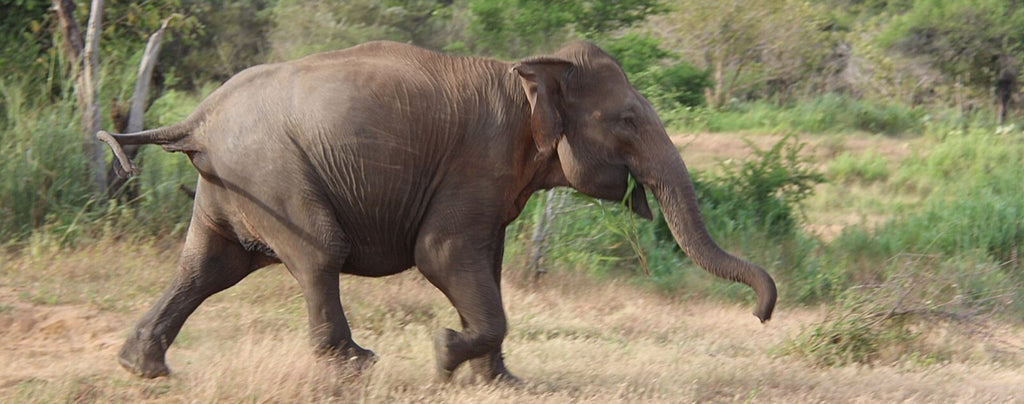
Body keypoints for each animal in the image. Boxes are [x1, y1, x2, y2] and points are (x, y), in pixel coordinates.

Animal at [99, 40, 774, 382]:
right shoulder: (479, 159)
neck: (529, 69)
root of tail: (197, 118)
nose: (763, 315)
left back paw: (143, 369)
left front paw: (500, 384)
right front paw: (445, 355)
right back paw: (356, 369)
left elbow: (486, 264)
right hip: (271, 170)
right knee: (318, 252)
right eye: (629, 121)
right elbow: (443, 255)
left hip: (234, 180)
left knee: (208, 267)